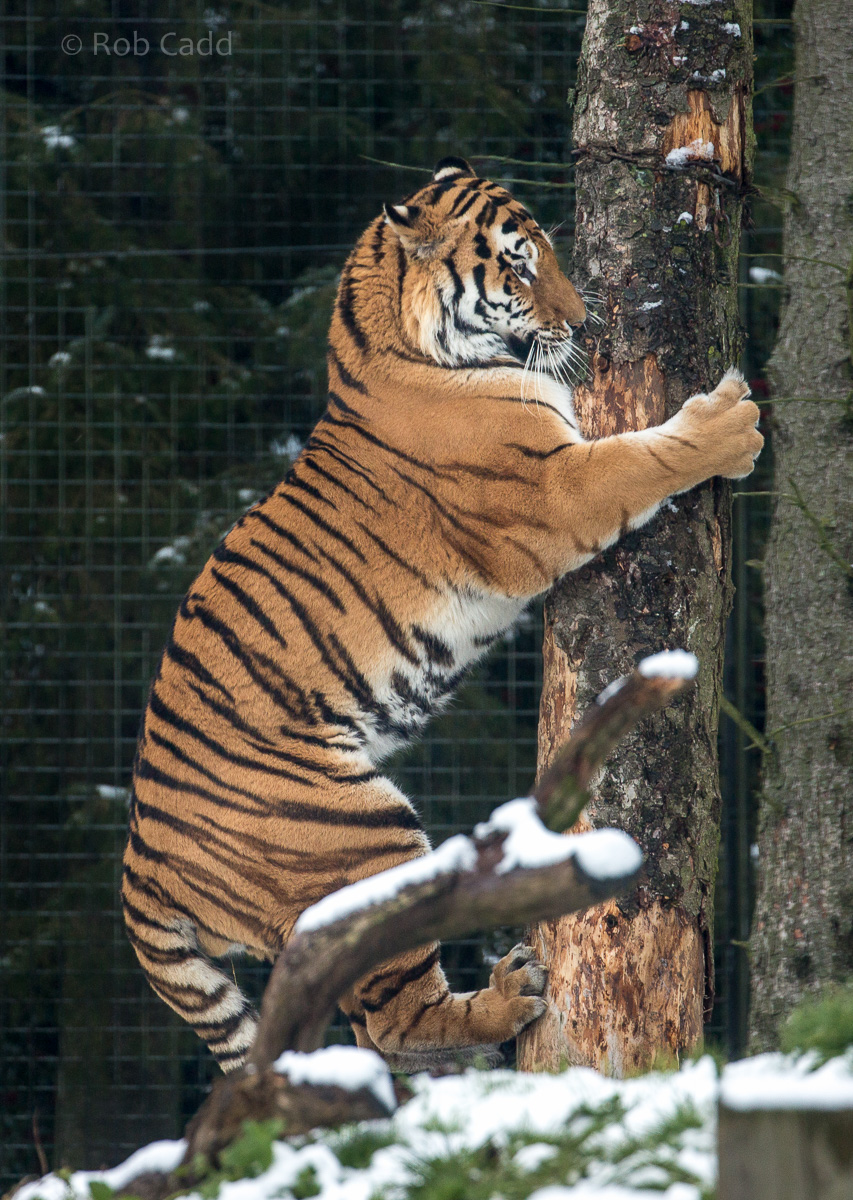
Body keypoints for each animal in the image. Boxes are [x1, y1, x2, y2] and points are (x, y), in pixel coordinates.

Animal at [122, 156, 763, 1073]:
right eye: (519, 267)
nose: (581, 322)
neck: (385, 348)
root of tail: (138, 868)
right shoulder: (554, 491)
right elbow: (644, 458)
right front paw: (731, 425)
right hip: (359, 841)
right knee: (393, 1020)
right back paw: (507, 996)